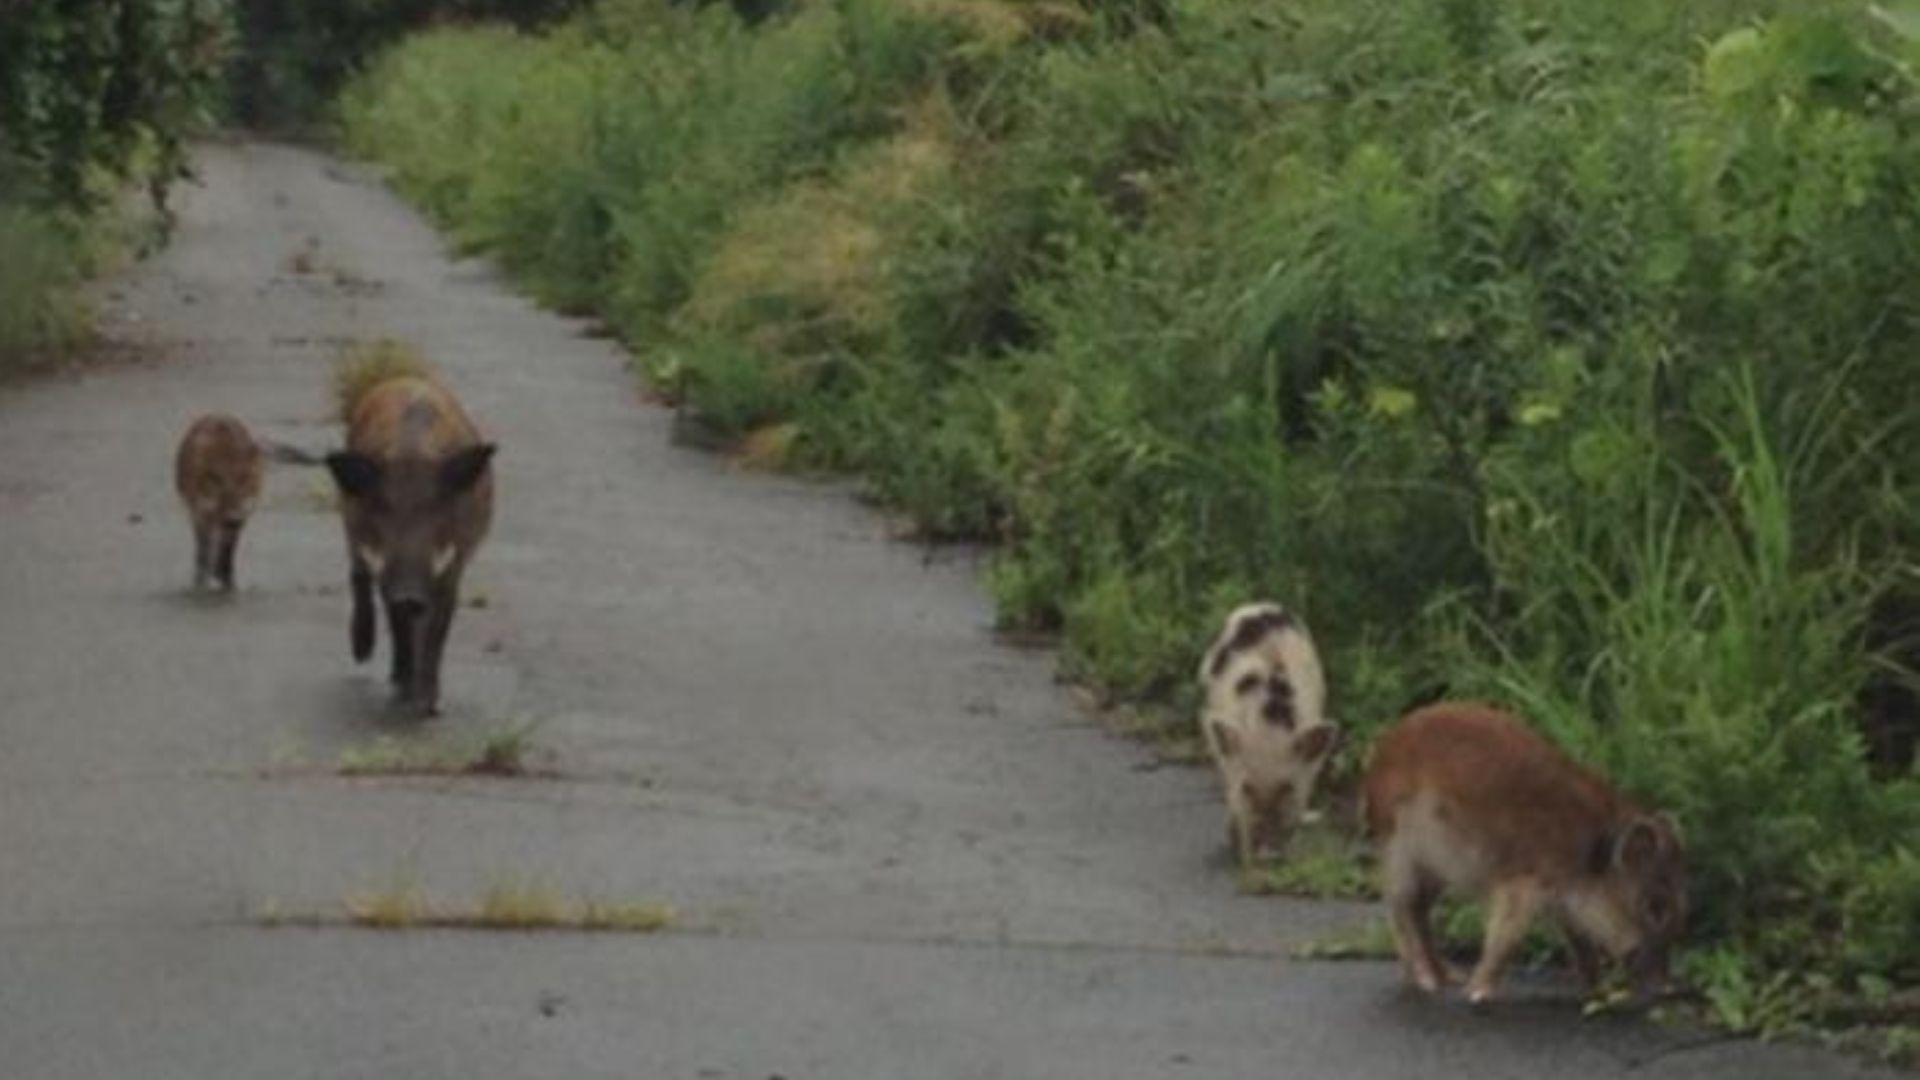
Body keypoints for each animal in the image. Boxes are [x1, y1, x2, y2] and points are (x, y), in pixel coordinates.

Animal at [174, 413, 264, 591]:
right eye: (217, 479)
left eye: (243, 478)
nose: (232, 515)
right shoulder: (200, 512)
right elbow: (204, 549)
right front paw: (202, 580)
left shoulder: (240, 518)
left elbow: (227, 553)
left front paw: (226, 579)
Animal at [324, 375, 494, 716]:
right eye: (382, 507)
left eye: (438, 507)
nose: (409, 593)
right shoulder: (379, 559)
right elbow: (395, 616)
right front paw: (402, 689)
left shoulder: (453, 562)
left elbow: (439, 625)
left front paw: (428, 705)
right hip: (348, 523)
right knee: (358, 576)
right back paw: (363, 654)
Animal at [1362, 702, 1687, 1005]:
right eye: (1655, 907)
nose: (1668, 988)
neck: (1587, 855)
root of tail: (1379, 756)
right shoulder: (1521, 884)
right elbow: (1507, 937)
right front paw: (1477, 993)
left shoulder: (1566, 902)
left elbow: (1580, 941)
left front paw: (1597, 991)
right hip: (1400, 852)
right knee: (1400, 907)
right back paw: (1428, 982)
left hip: (1436, 871)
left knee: (1420, 910)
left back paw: (1449, 976)